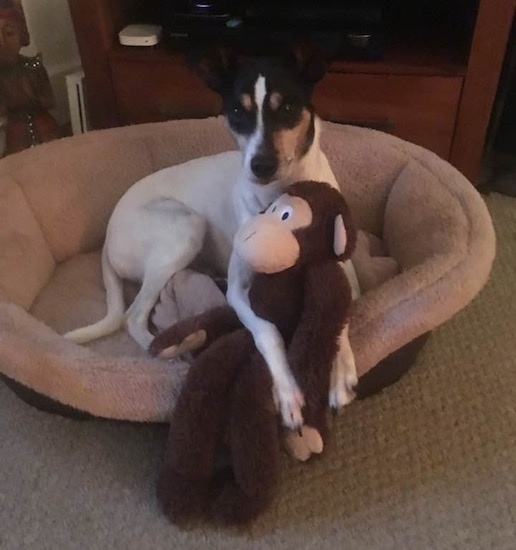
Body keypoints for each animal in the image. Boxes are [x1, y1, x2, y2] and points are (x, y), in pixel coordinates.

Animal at [64, 43, 360, 432]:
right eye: (237, 112)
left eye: (288, 108)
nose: (260, 165)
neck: (283, 193)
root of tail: (108, 236)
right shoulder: (240, 291)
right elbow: (267, 331)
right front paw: (287, 392)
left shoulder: (345, 270)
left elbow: (339, 309)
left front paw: (340, 372)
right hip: (186, 227)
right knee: (133, 316)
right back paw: (173, 352)